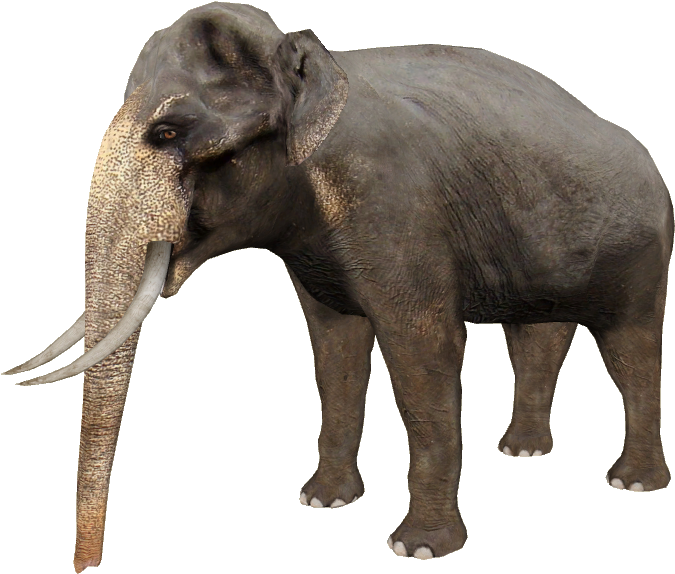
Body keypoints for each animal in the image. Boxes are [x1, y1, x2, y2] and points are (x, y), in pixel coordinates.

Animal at [5, 2, 672, 570]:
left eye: (169, 131)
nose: (86, 567)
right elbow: (335, 349)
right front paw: (323, 502)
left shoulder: (393, 206)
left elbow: (423, 348)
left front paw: (417, 548)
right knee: (539, 332)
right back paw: (524, 451)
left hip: (644, 255)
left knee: (631, 349)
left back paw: (632, 481)